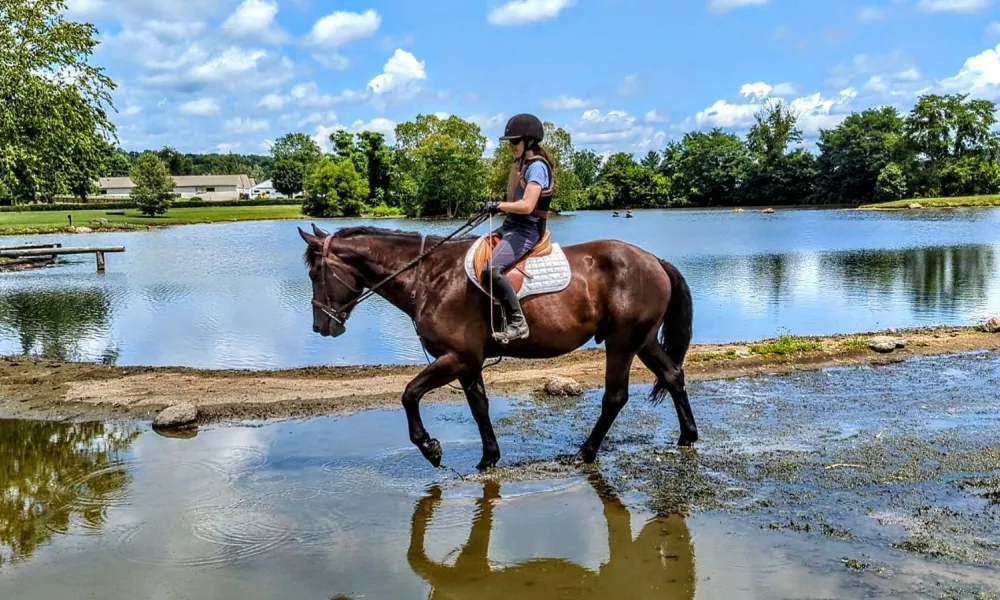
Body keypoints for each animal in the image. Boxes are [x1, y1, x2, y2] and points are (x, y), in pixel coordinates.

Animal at [298, 223, 696, 472]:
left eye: (315, 274)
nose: (319, 327)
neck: (429, 278)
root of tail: (653, 260)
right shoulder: (468, 362)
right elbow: (479, 407)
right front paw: (488, 457)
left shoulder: (456, 357)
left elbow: (409, 394)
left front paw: (430, 448)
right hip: (642, 341)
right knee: (673, 375)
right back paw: (687, 437)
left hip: (622, 343)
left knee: (615, 397)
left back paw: (585, 452)